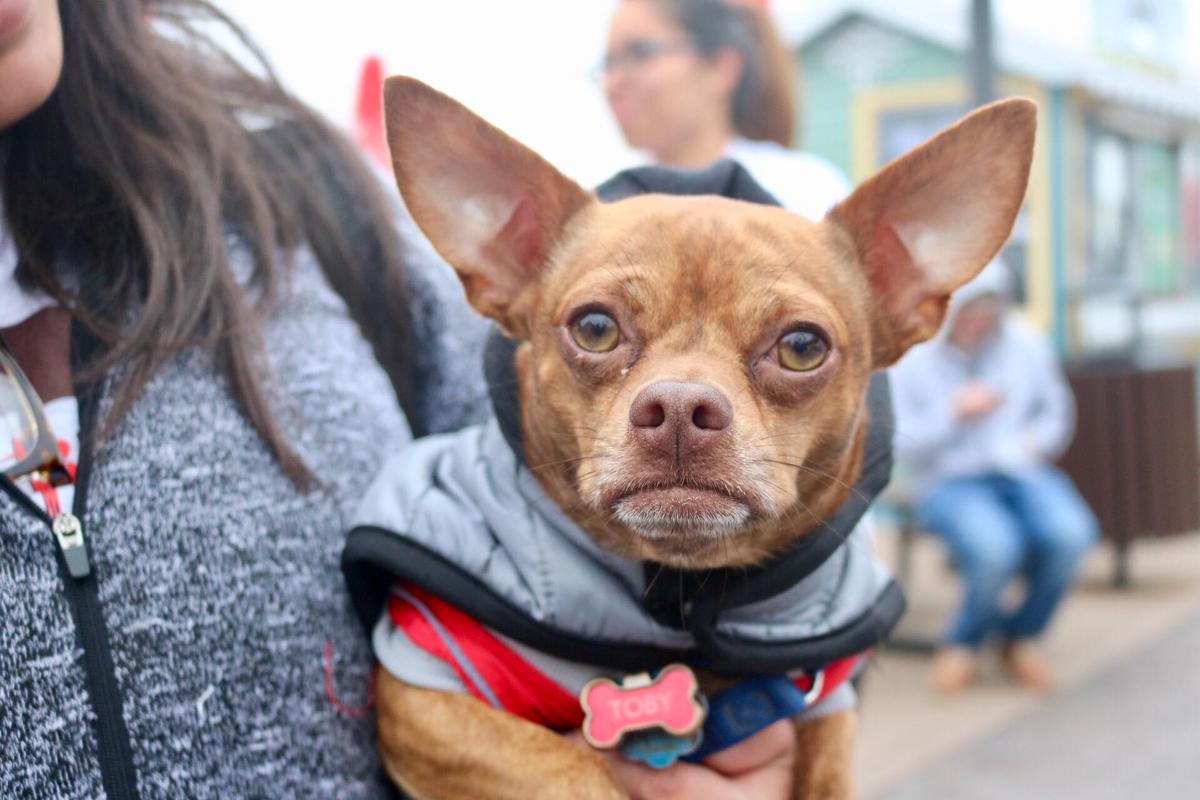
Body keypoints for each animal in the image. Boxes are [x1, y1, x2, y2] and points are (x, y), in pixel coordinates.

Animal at [360, 76, 1036, 800]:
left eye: (802, 347)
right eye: (595, 328)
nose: (681, 407)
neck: (683, 594)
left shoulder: (824, 698)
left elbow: (828, 773)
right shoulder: (424, 690)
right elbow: (569, 772)